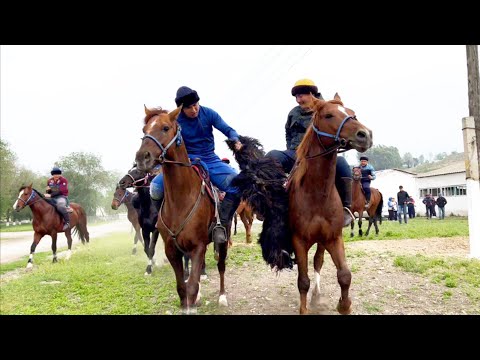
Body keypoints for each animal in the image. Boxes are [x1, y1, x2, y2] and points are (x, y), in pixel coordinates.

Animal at [133, 105, 227, 314]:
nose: (142, 158)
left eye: (166, 128)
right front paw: (189, 303)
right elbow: (182, 286)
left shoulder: (198, 247)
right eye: (144, 130)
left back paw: (222, 297)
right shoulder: (172, 250)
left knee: (221, 266)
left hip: (222, 240)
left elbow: (191, 284)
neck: (180, 200)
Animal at [286, 93, 374, 316]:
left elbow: (344, 275)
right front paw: (304, 309)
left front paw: (344, 305)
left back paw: (317, 296)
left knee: (318, 261)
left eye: (352, 113)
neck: (317, 194)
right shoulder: (299, 240)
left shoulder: (333, 237)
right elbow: (303, 281)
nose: (365, 134)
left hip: (322, 240)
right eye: (328, 115)